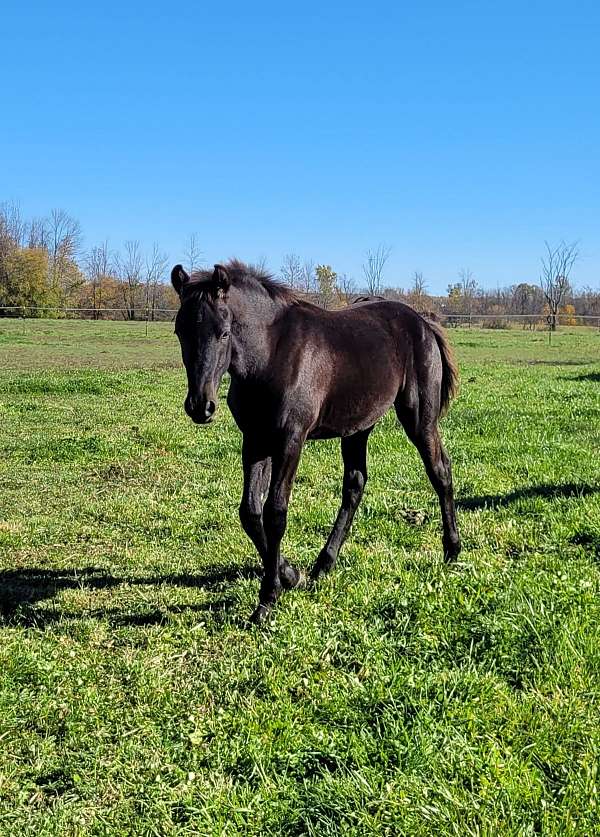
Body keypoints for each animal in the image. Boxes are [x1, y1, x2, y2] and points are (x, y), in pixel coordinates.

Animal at [171, 262, 462, 620]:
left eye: (224, 332)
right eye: (179, 332)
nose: (201, 406)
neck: (272, 354)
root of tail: (421, 321)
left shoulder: (290, 440)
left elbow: (275, 512)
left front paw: (268, 599)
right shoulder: (254, 439)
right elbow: (250, 512)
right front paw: (289, 574)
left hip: (420, 419)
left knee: (440, 472)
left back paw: (452, 550)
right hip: (358, 427)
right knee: (355, 484)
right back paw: (324, 564)